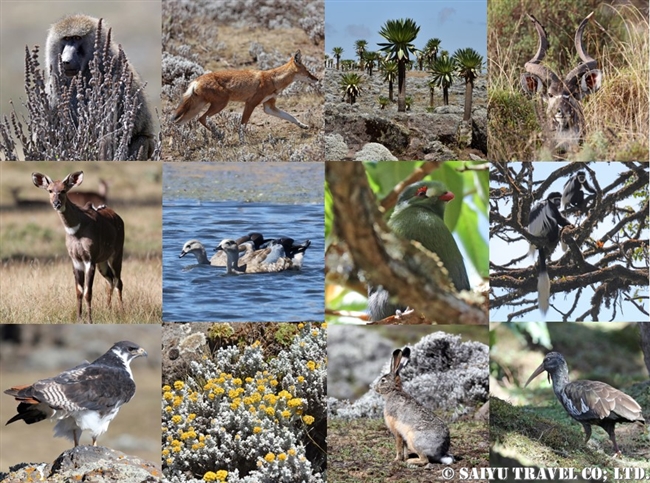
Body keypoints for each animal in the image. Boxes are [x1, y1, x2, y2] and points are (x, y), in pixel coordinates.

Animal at [31, 172, 124, 324]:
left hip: (116, 255)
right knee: (110, 280)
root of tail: (118, 217)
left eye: (63, 190)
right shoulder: (76, 260)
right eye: (50, 190)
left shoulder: (89, 260)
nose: (56, 203)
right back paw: (108, 310)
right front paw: (79, 319)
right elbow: (79, 291)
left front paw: (90, 320)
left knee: (118, 281)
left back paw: (122, 312)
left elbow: (88, 292)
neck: (77, 229)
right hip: (102, 262)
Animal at [172, 51, 318, 142]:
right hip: (219, 105)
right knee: (201, 119)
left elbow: (291, 116)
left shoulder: (268, 107)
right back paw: (219, 135)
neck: (273, 79)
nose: (317, 79)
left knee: (177, 123)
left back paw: (178, 141)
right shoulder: (251, 103)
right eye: (308, 71)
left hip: (195, 110)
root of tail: (196, 80)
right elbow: (242, 125)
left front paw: (303, 126)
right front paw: (242, 142)